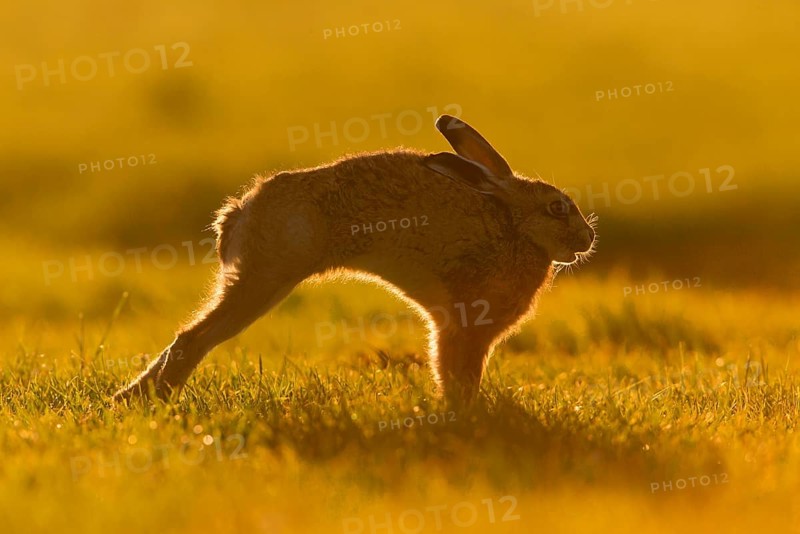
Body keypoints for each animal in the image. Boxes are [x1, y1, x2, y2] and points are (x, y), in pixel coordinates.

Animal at [113, 114, 596, 404]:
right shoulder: (464, 325)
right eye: (557, 208)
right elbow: (456, 371)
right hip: (267, 276)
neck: (516, 227)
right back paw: (142, 400)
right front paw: (464, 412)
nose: (588, 237)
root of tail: (236, 213)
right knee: (194, 338)